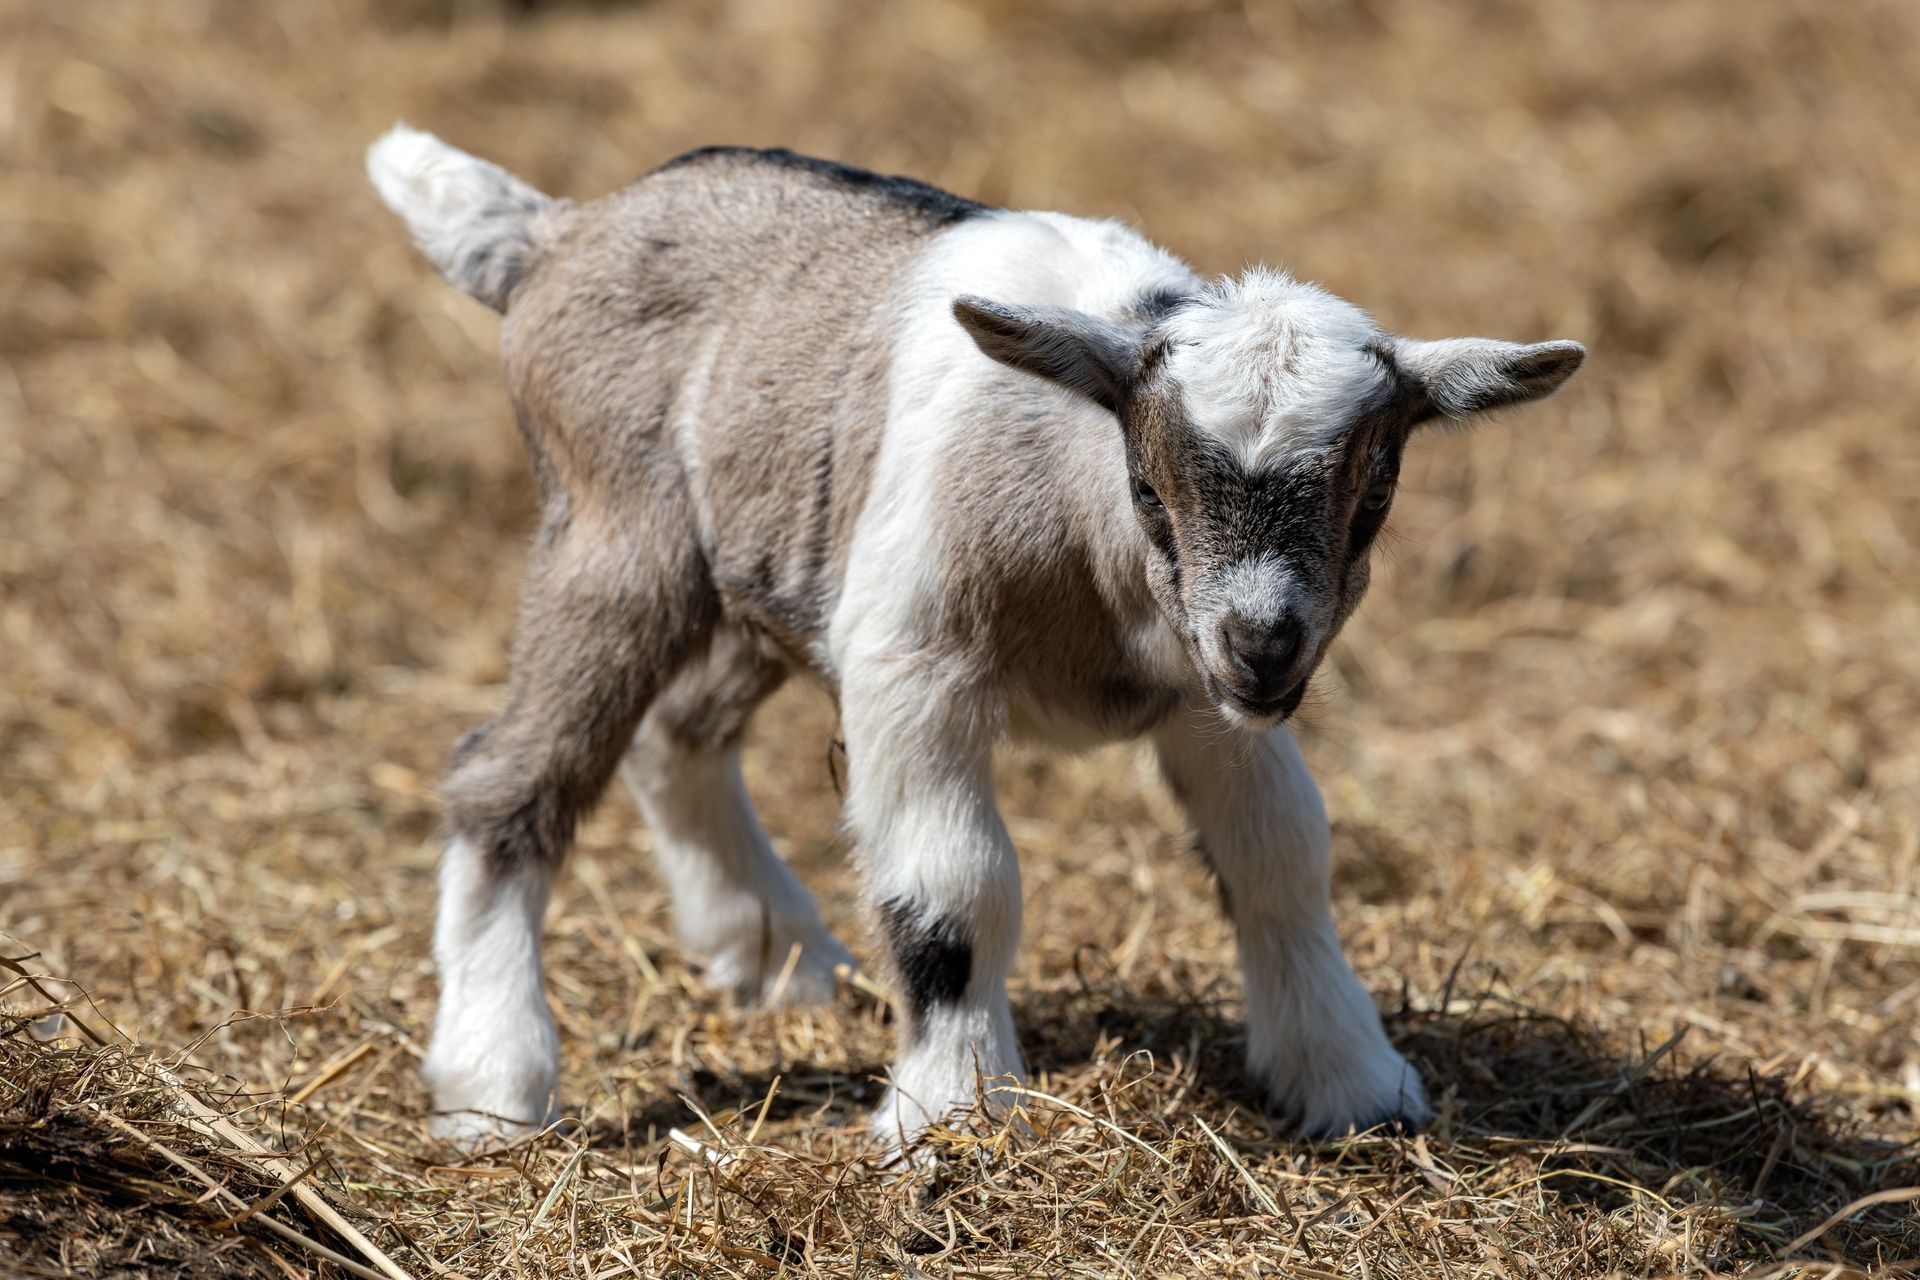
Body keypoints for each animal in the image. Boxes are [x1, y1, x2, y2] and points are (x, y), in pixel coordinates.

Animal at [366, 125, 1585, 1150]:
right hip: (616, 530)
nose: (1266, 648)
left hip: (768, 561)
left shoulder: (1204, 692)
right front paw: (958, 1112)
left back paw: (775, 957)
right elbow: (957, 887)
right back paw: (494, 1086)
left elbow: (1282, 857)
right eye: (1151, 487)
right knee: (506, 775)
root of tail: (555, 234)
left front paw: (1352, 1081)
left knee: (678, 731)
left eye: (1372, 500)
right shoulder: (915, 656)